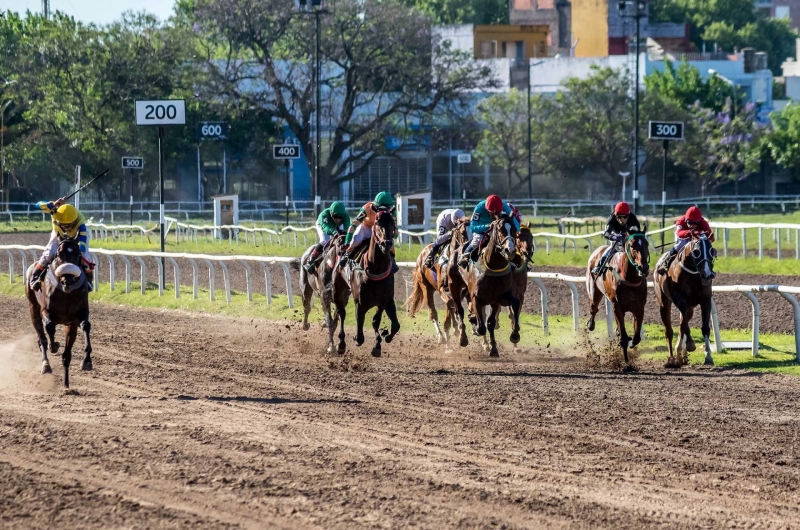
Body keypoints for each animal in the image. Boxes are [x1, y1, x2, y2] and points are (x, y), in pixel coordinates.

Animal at [24, 237, 92, 386]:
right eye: (59, 254)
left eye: (78, 254)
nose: (67, 281)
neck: (65, 293)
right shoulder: (45, 309)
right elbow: (49, 326)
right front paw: (53, 345)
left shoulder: (77, 316)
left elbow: (85, 326)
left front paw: (87, 361)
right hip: (33, 308)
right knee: (42, 337)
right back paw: (46, 364)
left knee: (66, 355)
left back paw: (66, 384)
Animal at [348, 209, 400, 354]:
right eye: (377, 223)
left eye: (392, 223)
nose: (386, 244)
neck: (376, 269)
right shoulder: (360, 303)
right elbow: (360, 335)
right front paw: (357, 338)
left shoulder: (386, 301)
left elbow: (393, 325)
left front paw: (383, 337)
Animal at [588, 229, 648, 370]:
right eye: (632, 245)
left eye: (646, 244)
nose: (643, 268)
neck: (630, 278)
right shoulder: (617, 306)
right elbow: (624, 338)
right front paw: (626, 364)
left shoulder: (639, 307)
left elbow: (636, 337)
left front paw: (632, 343)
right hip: (594, 290)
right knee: (593, 308)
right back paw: (590, 324)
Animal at [656, 233, 720, 366]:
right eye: (696, 251)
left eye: (712, 251)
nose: (708, 274)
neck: (693, 274)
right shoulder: (680, 300)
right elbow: (684, 325)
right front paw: (690, 345)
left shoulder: (705, 301)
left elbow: (704, 328)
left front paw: (708, 356)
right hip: (664, 302)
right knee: (669, 330)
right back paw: (671, 359)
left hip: (690, 308)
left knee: (682, 325)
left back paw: (682, 355)